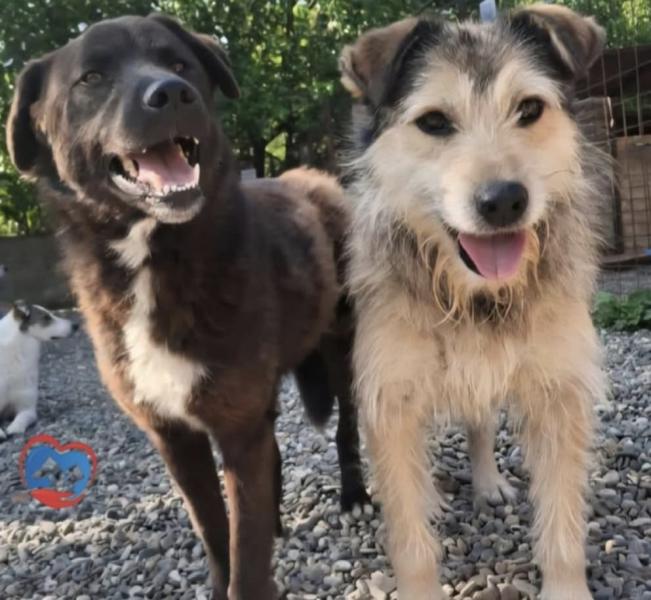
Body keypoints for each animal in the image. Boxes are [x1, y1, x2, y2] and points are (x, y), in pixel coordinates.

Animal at [340, 4, 607, 599]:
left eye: (529, 109)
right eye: (435, 122)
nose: (504, 200)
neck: (476, 297)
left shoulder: (561, 395)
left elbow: (563, 526)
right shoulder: (389, 394)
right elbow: (409, 537)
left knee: (479, 420)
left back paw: (487, 480)